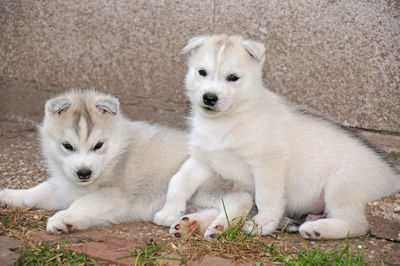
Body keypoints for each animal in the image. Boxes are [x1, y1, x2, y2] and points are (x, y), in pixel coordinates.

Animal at [155, 34, 400, 240]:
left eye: (233, 77)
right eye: (202, 72)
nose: (209, 97)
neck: (227, 121)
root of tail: (394, 176)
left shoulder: (267, 165)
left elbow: (267, 197)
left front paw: (262, 224)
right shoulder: (202, 160)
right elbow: (177, 182)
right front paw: (169, 211)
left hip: (343, 184)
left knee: (358, 224)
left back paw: (316, 230)